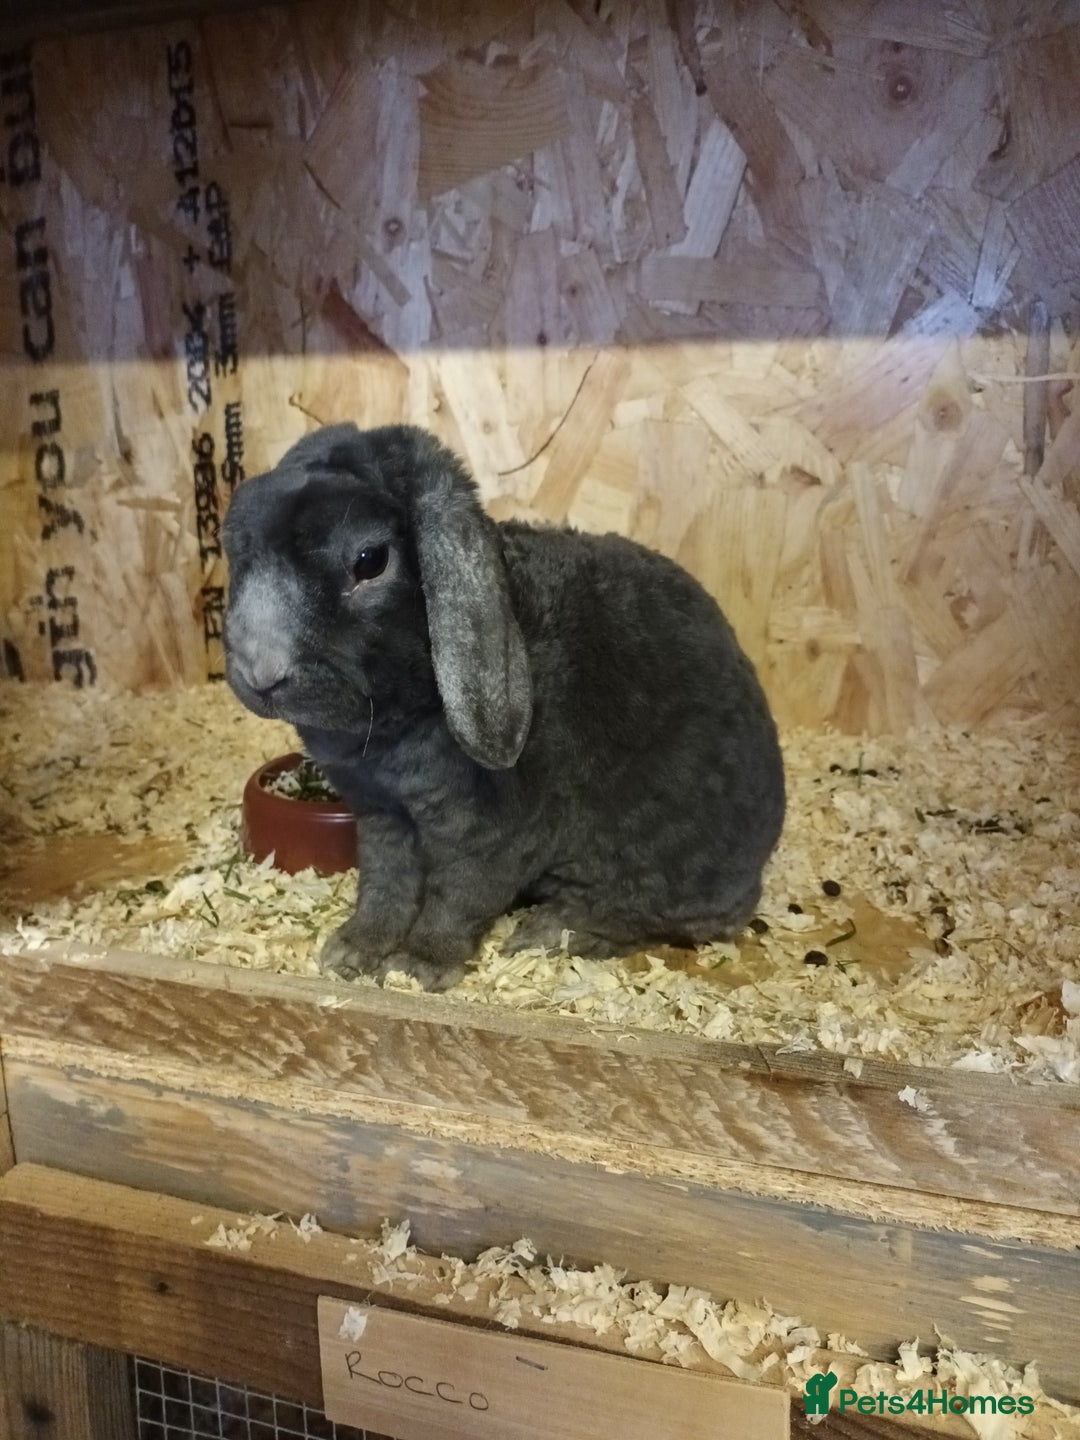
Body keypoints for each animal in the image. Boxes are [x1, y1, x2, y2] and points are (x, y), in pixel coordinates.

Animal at [223, 423, 785, 991]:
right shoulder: (384, 819)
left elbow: (458, 898)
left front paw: (417, 968)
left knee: (644, 917)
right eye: (238, 549)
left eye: (369, 561)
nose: (260, 672)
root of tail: (753, 874)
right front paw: (353, 951)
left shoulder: (490, 837)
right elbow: (385, 888)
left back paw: (553, 932)